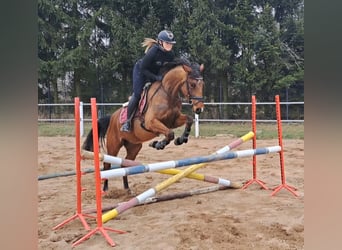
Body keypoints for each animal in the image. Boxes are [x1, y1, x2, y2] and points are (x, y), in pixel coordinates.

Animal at [82, 59, 206, 192]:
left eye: (203, 85)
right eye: (192, 84)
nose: (199, 109)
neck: (167, 93)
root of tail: (112, 117)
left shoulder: (173, 120)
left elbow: (188, 120)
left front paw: (181, 139)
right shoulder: (151, 122)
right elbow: (170, 133)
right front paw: (158, 144)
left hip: (134, 146)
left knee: (125, 164)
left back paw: (127, 189)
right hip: (114, 144)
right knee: (107, 164)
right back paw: (105, 189)